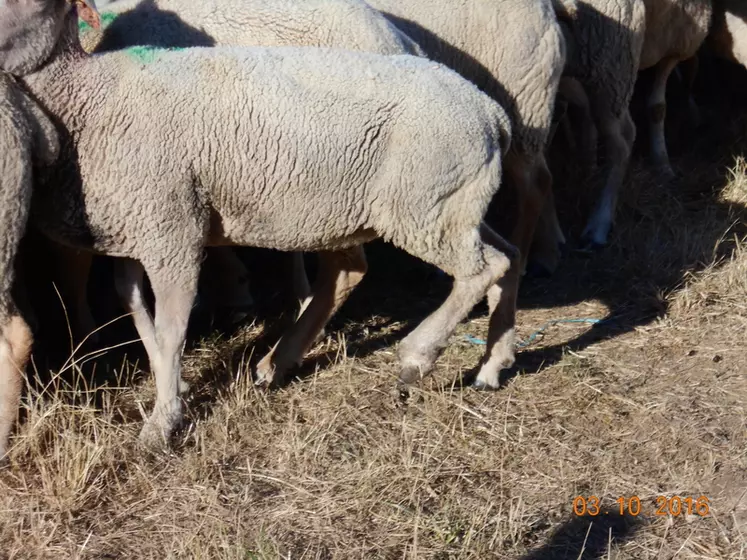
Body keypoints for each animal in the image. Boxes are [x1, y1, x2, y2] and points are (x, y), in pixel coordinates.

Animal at [14, 0, 524, 448]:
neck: (93, 90)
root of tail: (490, 112)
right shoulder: (141, 225)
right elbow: (135, 305)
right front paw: (168, 386)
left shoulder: (173, 229)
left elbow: (172, 324)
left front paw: (161, 424)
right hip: (447, 205)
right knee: (505, 256)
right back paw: (490, 364)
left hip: (420, 208)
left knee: (482, 269)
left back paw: (417, 356)